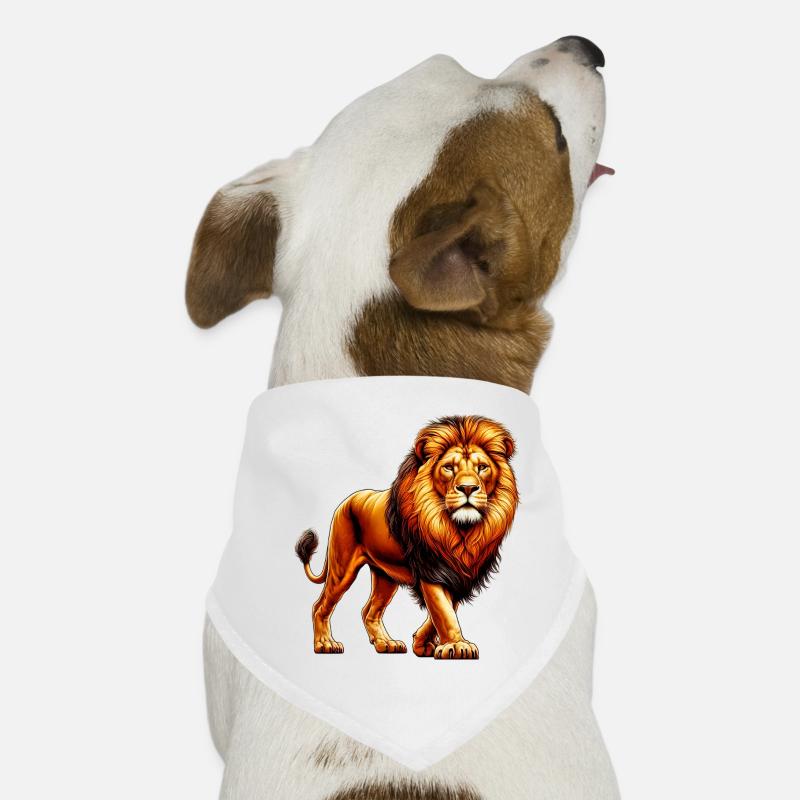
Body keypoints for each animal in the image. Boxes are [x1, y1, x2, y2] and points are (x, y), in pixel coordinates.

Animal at [295, 415, 519, 660]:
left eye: (483, 467)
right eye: (449, 468)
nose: (468, 488)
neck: (460, 530)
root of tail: (347, 501)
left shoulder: (458, 573)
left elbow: (444, 611)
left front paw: (422, 644)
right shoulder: (431, 568)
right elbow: (443, 611)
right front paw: (457, 645)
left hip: (385, 576)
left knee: (369, 611)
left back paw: (386, 643)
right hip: (342, 567)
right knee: (320, 606)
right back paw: (325, 644)